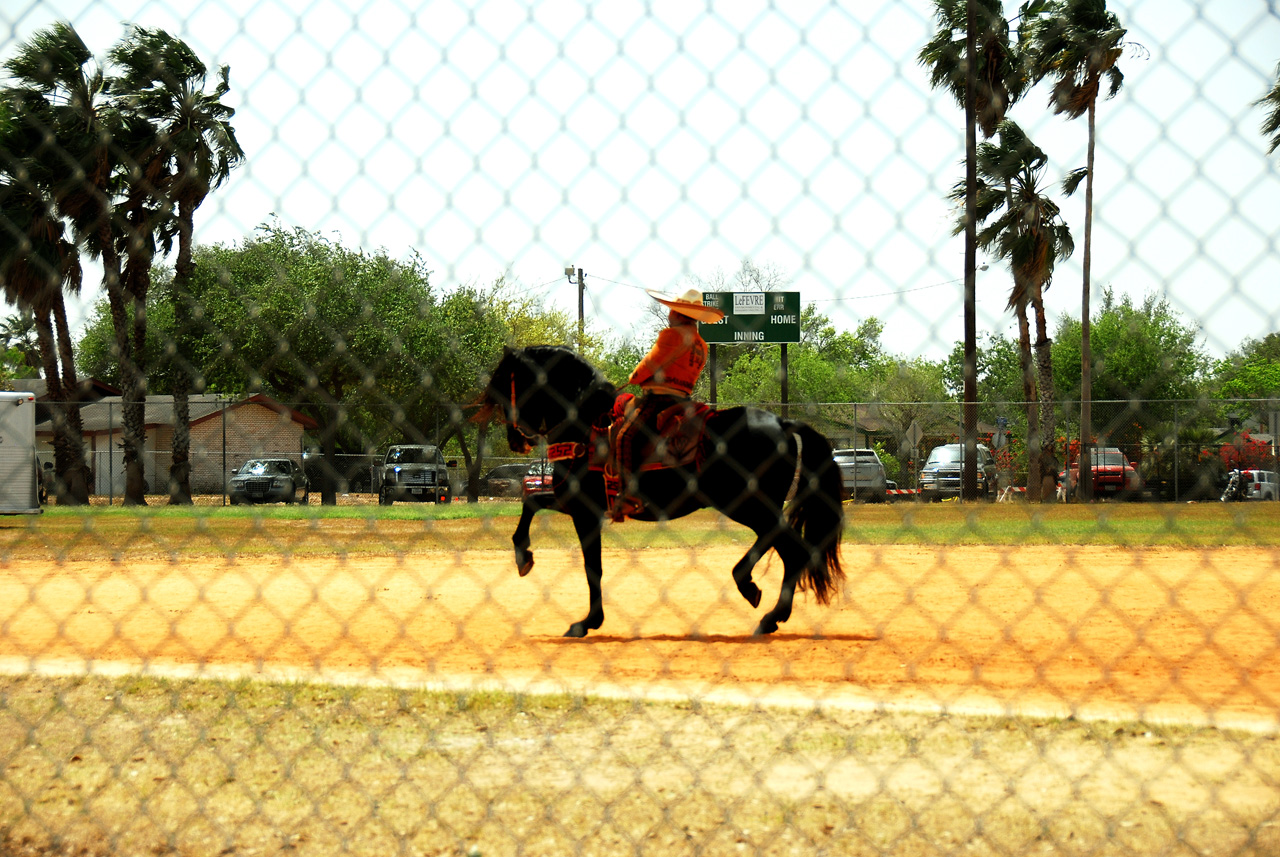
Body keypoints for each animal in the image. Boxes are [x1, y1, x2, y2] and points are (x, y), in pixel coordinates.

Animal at [476, 347, 844, 636]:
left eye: (504, 378)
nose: (515, 438)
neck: (586, 424)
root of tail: (783, 423)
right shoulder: (575, 503)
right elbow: (531, 502)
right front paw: (524, 557)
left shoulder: (584, 511)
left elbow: (591, 566)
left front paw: (586, 622)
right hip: (754, 506)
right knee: (791, 551)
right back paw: (771, 615)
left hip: (748, 505)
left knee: (789, 548)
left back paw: (755, 596)